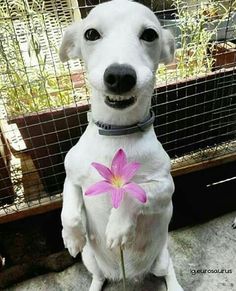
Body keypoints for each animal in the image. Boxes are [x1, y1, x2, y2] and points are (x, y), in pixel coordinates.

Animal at [58, 0, 183, 290]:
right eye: (91, 34)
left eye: (150, 34)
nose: (119, 75)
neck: (117, 133)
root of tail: (129, 275)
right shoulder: (72, 177)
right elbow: (69, 211)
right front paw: (71, 236)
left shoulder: (164, 187)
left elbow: (133, 194)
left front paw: (117, 228)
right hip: (90, 260)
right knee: (98, 276)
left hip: (161, 259)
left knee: (169, 269)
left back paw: (174, 285)